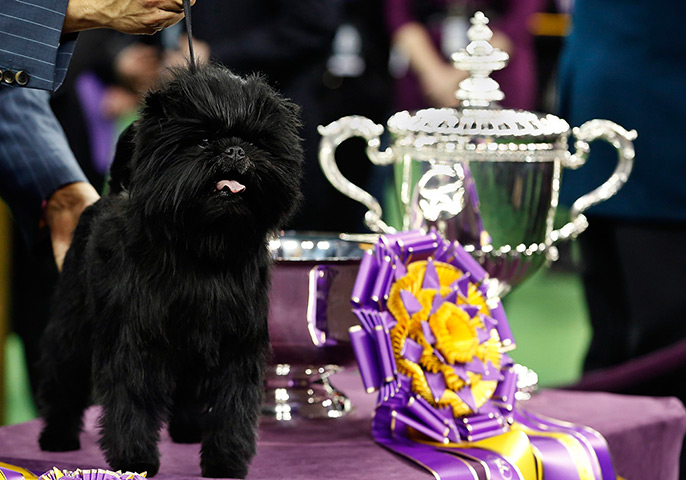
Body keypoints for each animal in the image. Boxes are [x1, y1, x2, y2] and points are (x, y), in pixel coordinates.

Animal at [37, 62, 304, 476]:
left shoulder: (235, 346)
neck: (204, 247)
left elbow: (233, 406)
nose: (234, 148)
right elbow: (133, 399)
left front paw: (226, 461)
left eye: (256, 141)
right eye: (203, 140)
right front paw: (135, 459)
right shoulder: (137, 342)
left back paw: (189, 430)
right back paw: (58, 436)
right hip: (73, 324)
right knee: (63, 377)